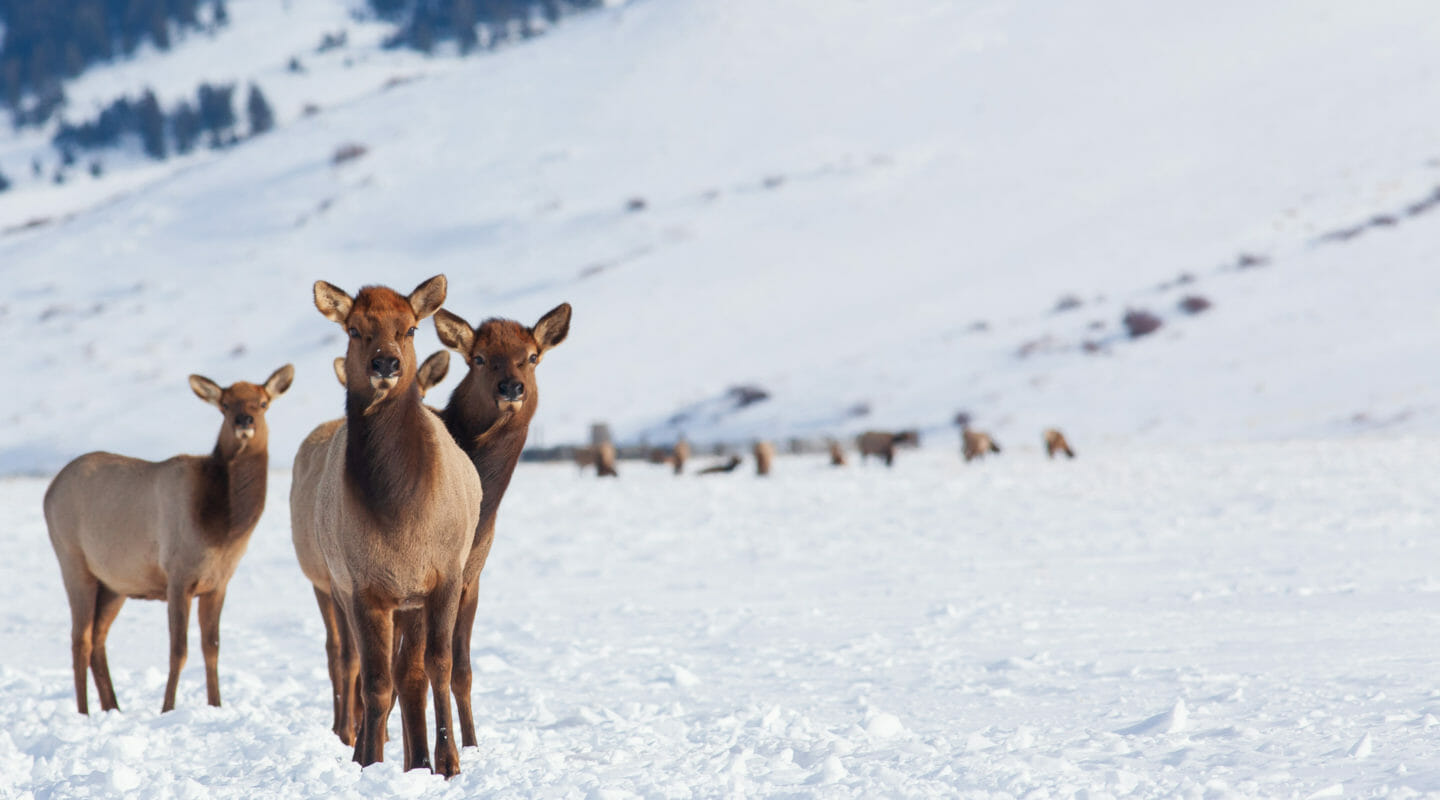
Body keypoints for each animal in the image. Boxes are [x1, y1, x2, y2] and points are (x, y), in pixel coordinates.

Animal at [45, 362, 293, 713]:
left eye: (263, 403)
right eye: (225, 405)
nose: (244, 421)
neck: (224, 530)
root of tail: (49, 491)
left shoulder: (218, 584)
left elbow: (212, 647)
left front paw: (216, 705)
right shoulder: (178, 577)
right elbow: (179, 650)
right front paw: (167, 707)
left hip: (115, 583)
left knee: (98, 640)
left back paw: (113, 707)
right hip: (73, 562)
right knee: (80, 639)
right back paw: (84, 712)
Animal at [289, 276, 480, 776]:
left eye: (410, 328)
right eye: (355, 329)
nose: (386, 363)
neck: (399, 514)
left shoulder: (443, 576)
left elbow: (438, 667)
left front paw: (448, 761)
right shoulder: (362, 587)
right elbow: (375, 680)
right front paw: (368, 761)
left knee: (412, 672)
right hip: (342, 588)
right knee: (359, 664)